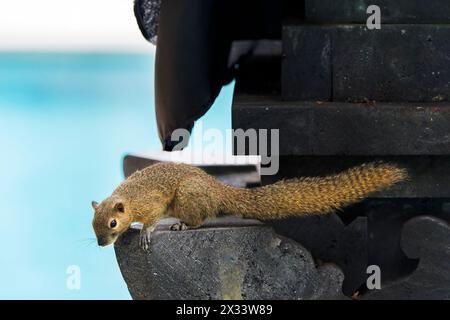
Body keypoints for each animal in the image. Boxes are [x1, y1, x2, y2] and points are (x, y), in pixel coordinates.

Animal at [91, 162, 408, 250]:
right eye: (93, 226)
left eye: (112, 224)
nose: (101, 244)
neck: (129, 197)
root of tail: (219, 189)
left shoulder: (152, 204)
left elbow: (152, 219)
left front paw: (145, 232)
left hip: (188, 196)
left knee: (199, 219)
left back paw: (183, 224)